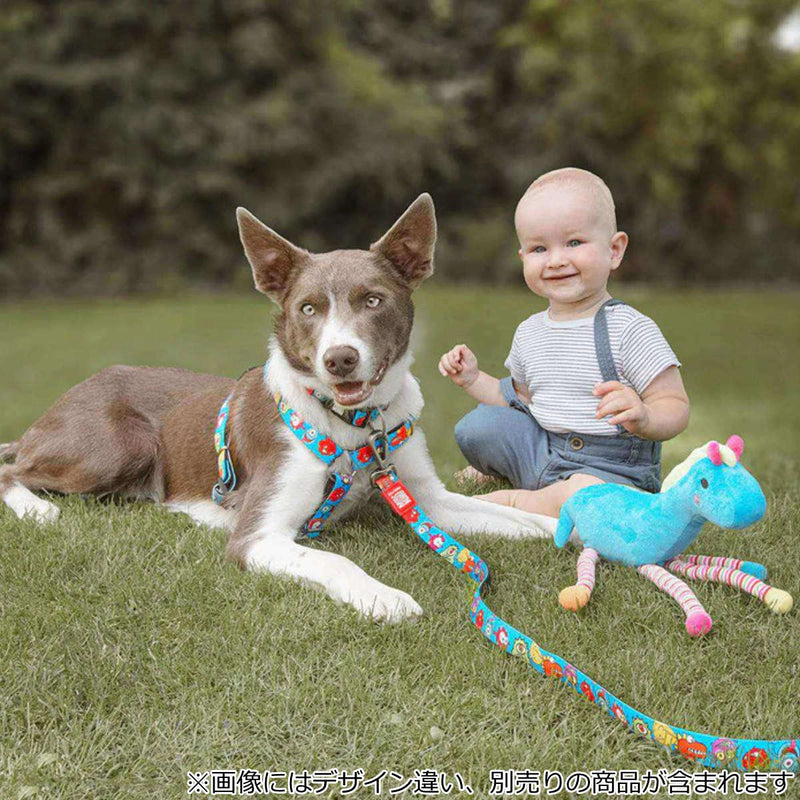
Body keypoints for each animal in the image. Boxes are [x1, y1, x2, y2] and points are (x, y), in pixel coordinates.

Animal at [0, 194, 556, 620]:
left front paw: (562, 527)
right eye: (308, 308)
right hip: (119, 446)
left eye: (373, 300)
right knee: (11, 469)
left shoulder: (427, 501)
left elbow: (504, 513)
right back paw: (37, 508)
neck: (354, 424)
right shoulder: (258, 536)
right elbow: (333, 562)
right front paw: (384, 597)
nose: (339, 359)